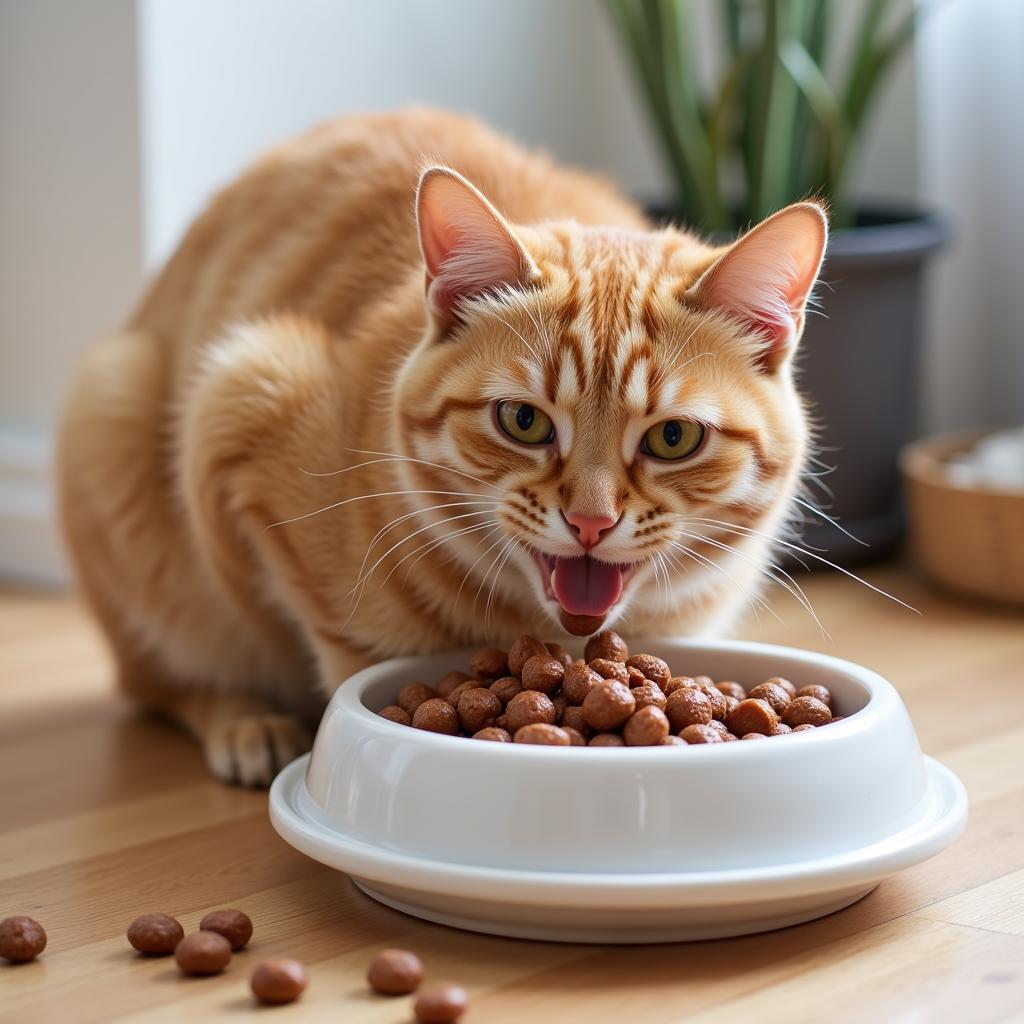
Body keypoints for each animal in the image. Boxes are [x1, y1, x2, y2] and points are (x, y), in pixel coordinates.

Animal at [56, 110, 827, 782]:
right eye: (523, 422)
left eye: (673, 437)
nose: (590, 522)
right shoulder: (243, 393)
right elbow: (335, 659)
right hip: (114, 401)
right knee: (159, 680)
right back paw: (248, 723)